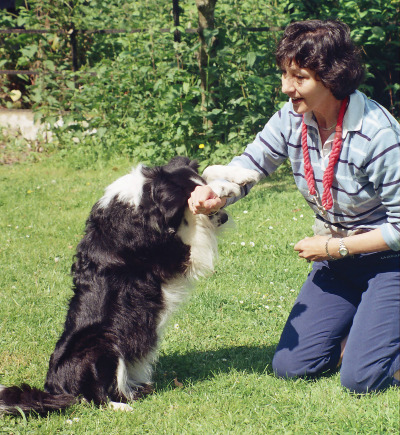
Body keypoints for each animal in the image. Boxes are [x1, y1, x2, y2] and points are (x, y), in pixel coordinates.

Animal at [0, 157, 260, 416]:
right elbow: (192, 214)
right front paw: (221, 188)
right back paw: (122, 407)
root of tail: (53, 389)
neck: (147, 198)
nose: (223, 217)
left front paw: (242, 175)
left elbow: (207, 170)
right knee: (92, 398)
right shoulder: (175, 251)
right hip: (102, 344)